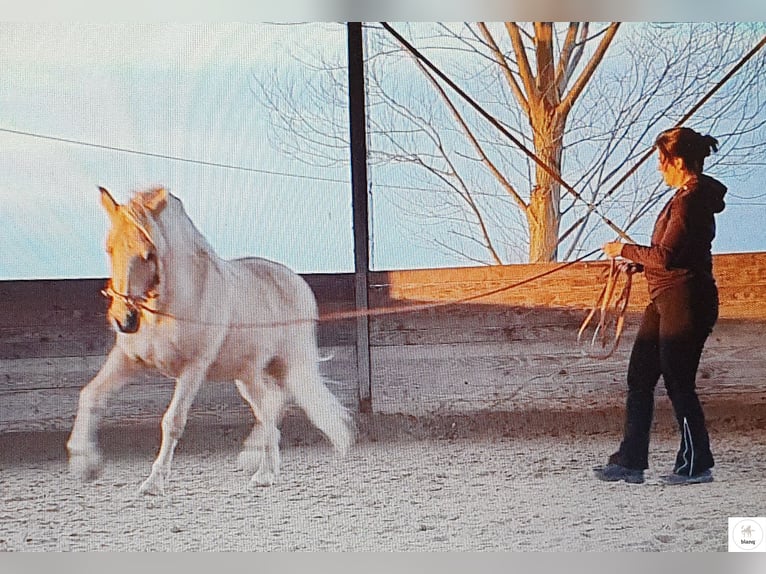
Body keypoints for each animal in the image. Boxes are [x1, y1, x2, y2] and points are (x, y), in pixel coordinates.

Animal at [67, 187, 356, 498]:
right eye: (109, 248)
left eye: (148, 253)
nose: (124, 319)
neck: (171, 307)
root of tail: (296, 282)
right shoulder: (128, 360)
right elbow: (91, 395)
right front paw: (85, 464)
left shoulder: (193, 368)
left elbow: (173, 421)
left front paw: (154, 482)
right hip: (247, 374)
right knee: (270, 406)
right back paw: (259, 464)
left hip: (287, 364)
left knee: (273, 407)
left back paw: (263, 472)